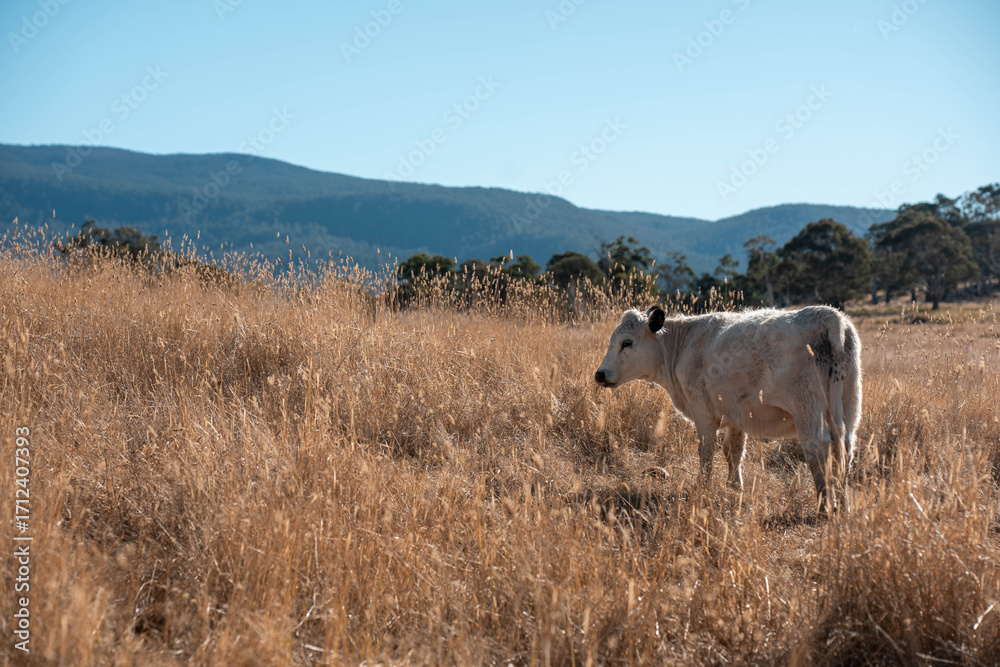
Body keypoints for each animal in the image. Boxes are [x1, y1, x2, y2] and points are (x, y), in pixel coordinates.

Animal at [594, 305, 862, 514]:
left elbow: (706, 451)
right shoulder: (736, 415)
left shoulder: (702, 412)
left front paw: (703, 486)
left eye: (627, 343)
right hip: (848, 407)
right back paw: (843, 505)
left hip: (807, 409)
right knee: (845, 449)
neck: (683, 345)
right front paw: (735, 486)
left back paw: (824, 506)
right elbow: (733, 451)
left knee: (819, 447)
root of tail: (829, 316)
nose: (600, 374)